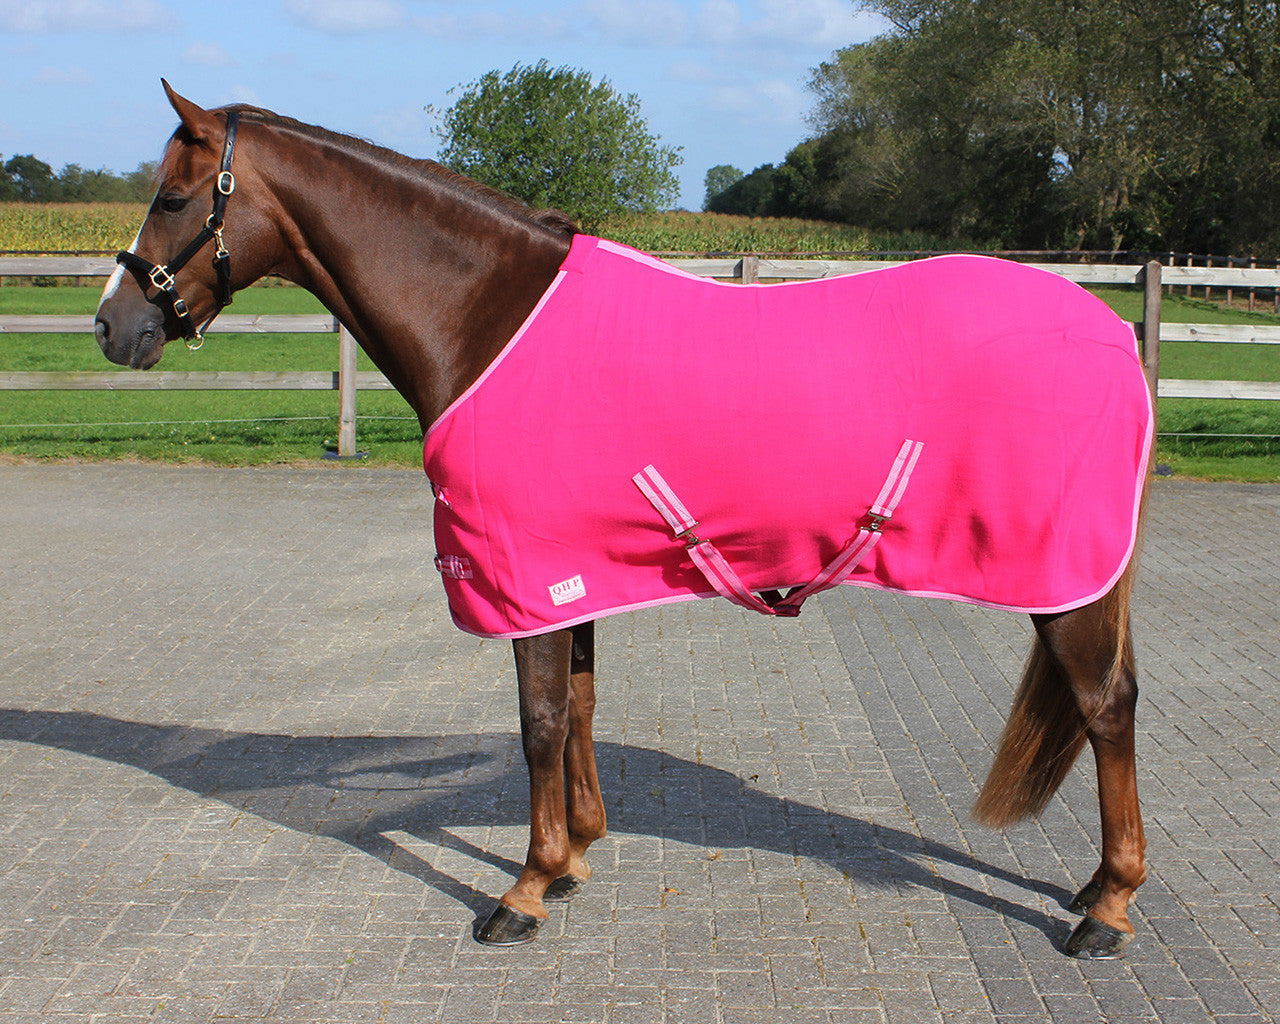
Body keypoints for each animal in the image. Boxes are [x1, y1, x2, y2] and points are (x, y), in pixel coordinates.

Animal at [94, 82, 1152, 959]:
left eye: (174, 199)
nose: (113, 327)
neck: (488, 316)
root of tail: (1113, 331)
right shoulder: (572, 576)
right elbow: (580, 708)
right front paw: (571, 861)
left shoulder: (520, 574)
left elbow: (537, 723)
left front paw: (522, 891)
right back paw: (1094, 890)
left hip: (1062, 577)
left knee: (1106, 708)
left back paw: (1107, 909)